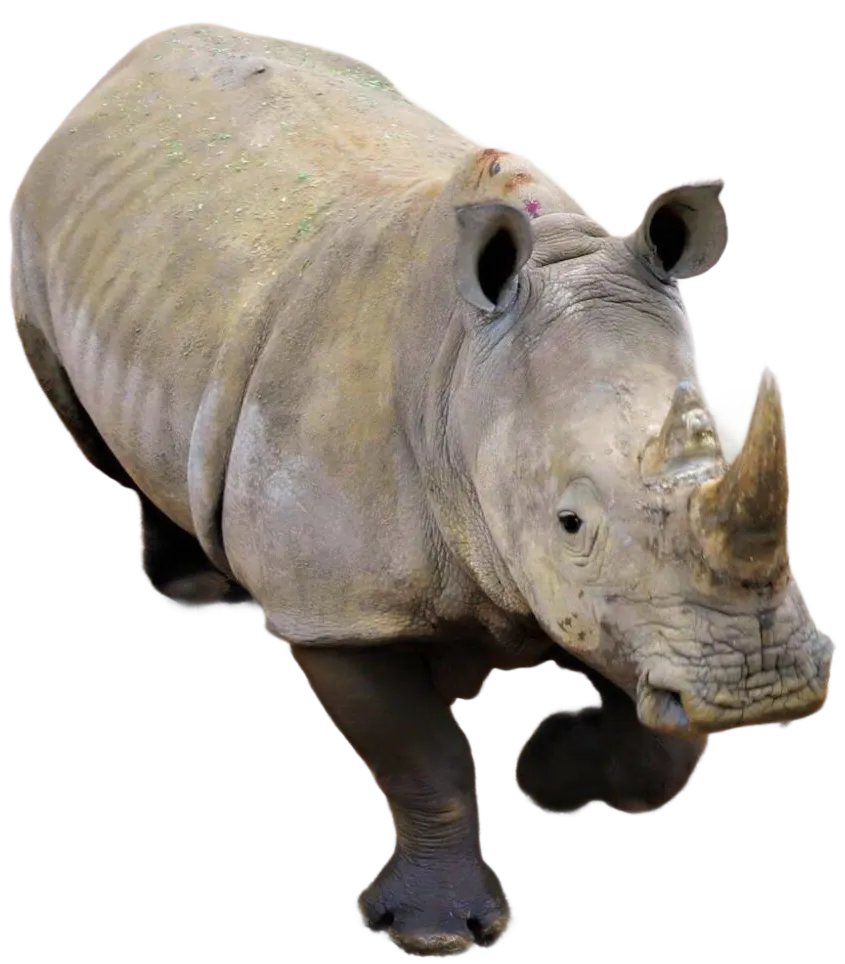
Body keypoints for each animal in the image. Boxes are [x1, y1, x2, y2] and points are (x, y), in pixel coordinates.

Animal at [10, 22, 832, 957]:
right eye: (569, 522)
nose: (764, 687)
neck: (466, 378)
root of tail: (131, 60)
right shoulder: (333, 607)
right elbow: (422, 757)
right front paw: (434, 935)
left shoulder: (636, 603)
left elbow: (661, 737)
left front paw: (553, 771)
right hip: (38, 221)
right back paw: (198, 588)